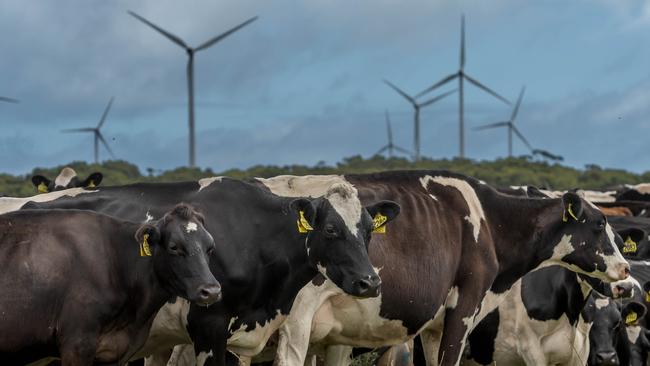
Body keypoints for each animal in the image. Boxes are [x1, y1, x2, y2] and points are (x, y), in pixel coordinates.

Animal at [244, 172, 628, 366]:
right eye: (599, 224)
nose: (626, 270)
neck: (489, 222)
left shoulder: (433, 326)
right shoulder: (465, 306)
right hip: (295, 324)